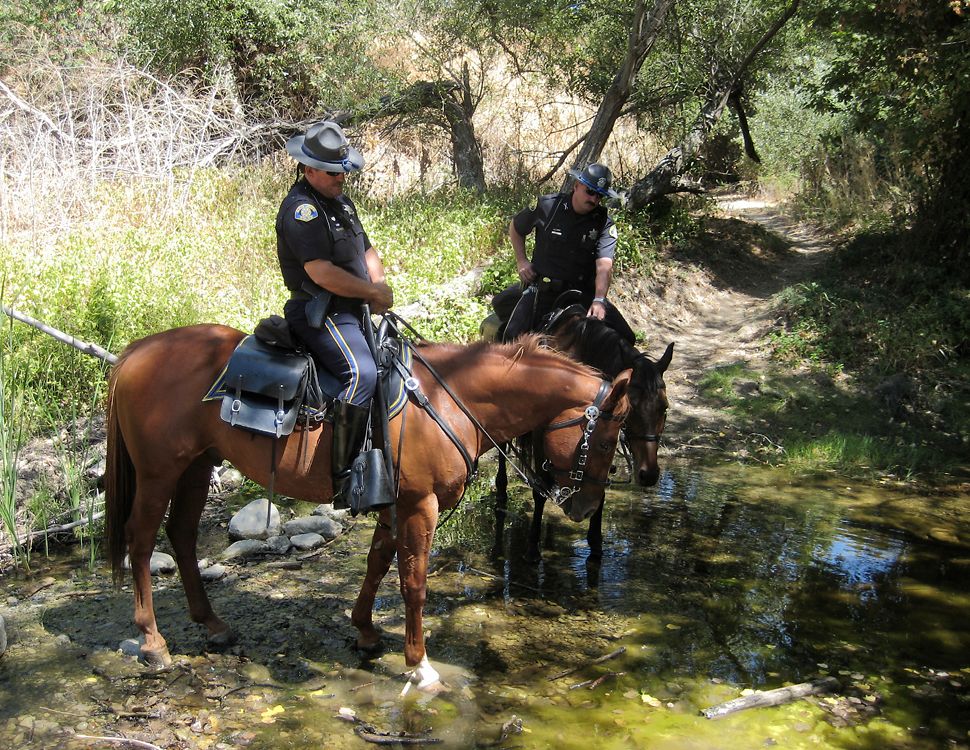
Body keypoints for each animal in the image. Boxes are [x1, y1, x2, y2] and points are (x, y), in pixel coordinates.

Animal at [104, 326, 628, 692]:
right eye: (606, 440)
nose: (585, 508)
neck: (447, 399)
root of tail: (137, 351)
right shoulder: (420, 506)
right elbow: (413, 584)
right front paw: (419, 665)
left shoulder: (394, 505)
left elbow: (377, 563)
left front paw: (365, 631)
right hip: (158, 473)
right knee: (142, 540)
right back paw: (153, 642)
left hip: (196, 466)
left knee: (182, 535)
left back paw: (213, 625)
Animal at [496, 304, 668, 560]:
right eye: (632, 408)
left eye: (664, 408)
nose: (649, 474)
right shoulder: (540, 433)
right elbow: (540, 490)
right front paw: (532, 547)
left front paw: (595, 542)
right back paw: (501, 492)